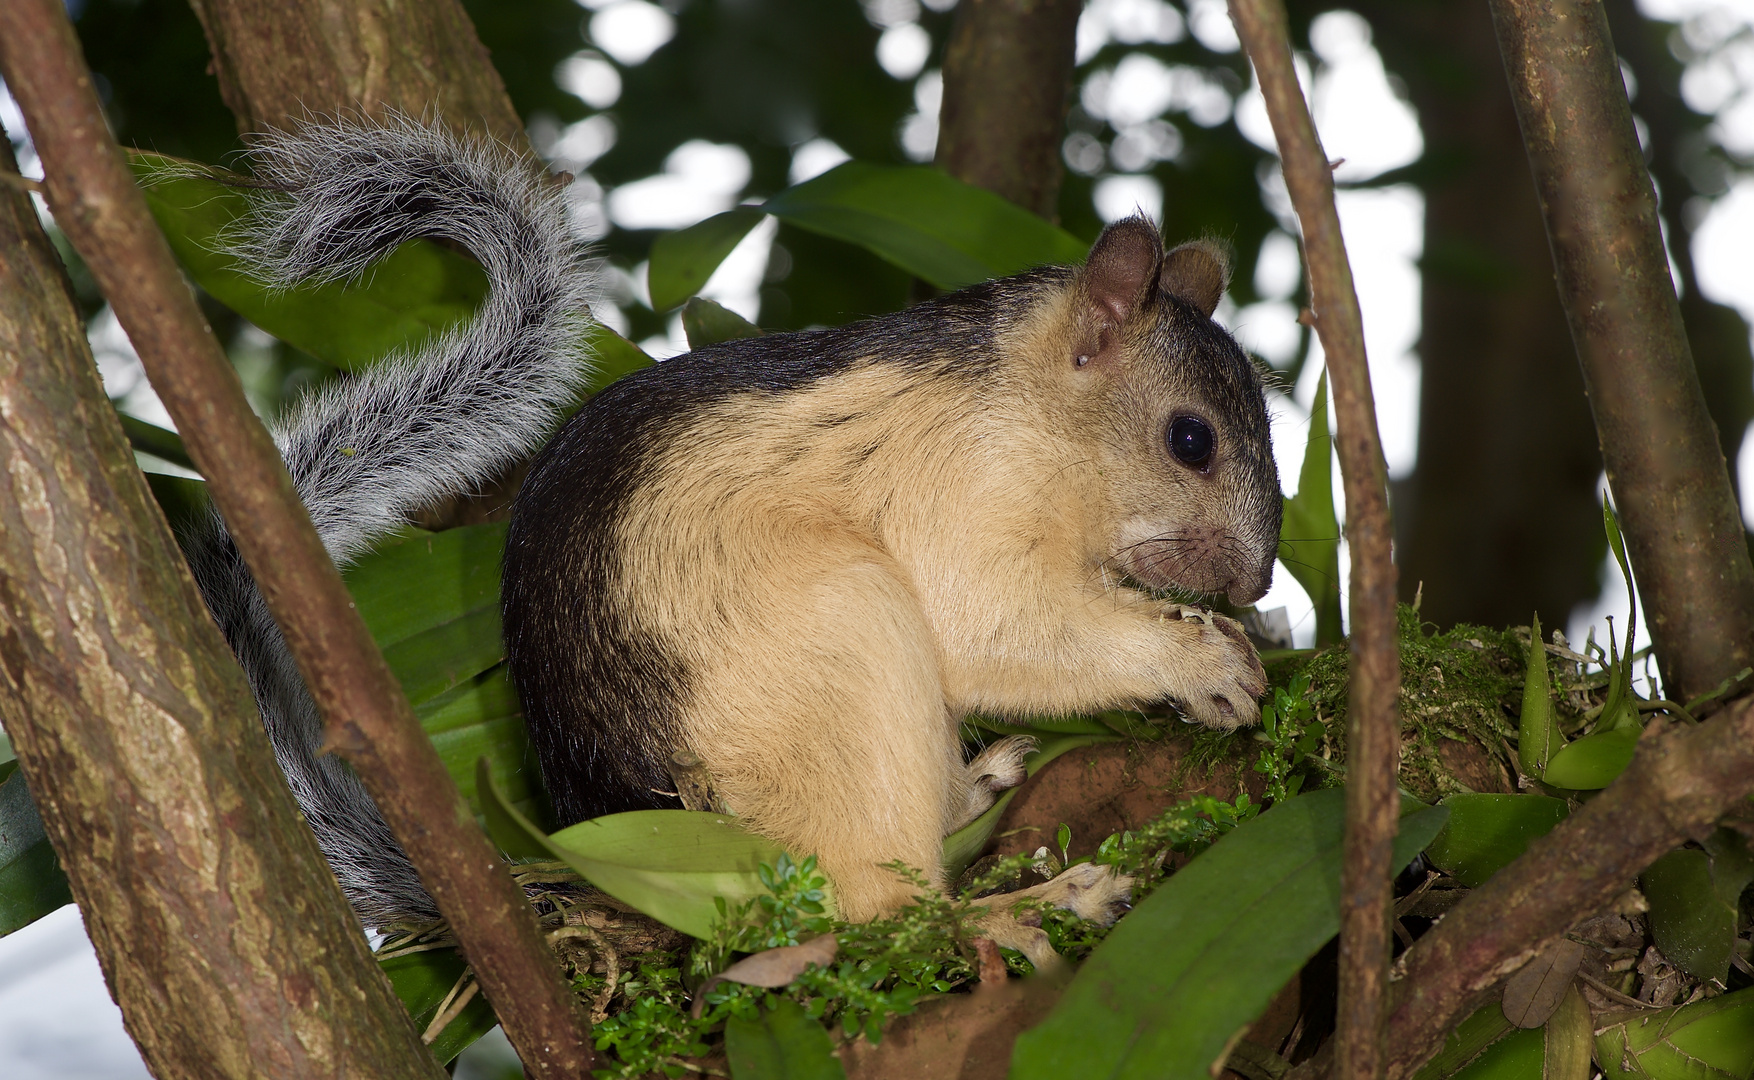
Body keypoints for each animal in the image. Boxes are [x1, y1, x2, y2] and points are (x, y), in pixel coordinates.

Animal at [192, 115, 1283, 925]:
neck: (1029, 405)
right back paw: (1034, 907)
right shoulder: (963, 488)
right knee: (885, 916)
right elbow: (994, 624)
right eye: (1190, 440)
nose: (1258, 580)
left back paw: (976, 792)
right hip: (839, 654)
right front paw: (1202, 660)